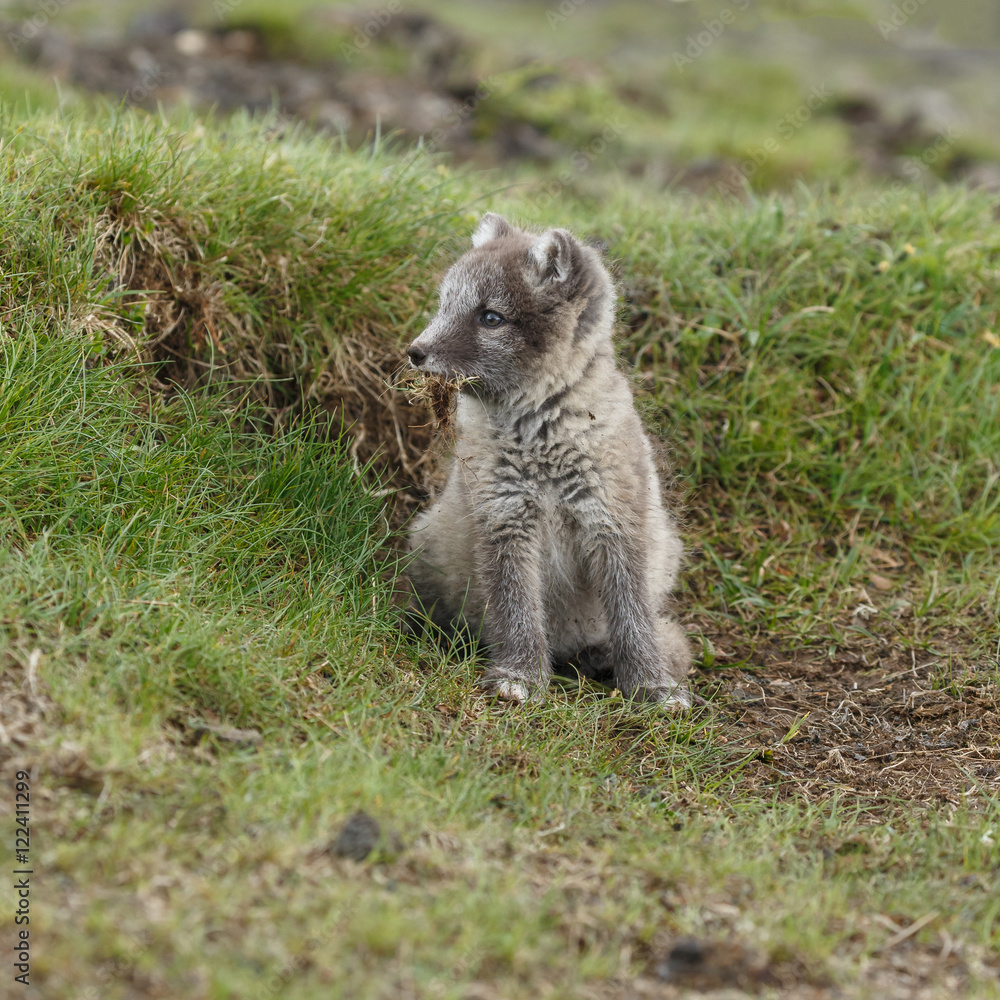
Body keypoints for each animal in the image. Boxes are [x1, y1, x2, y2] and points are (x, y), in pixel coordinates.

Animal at [405, 212, 691, 710]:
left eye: (491, 317)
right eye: (444, 305)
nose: (415, 352)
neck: (541, 441)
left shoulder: (615, 520)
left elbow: (633, 615)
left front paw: (651, 685)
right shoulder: (503, 516)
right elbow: (516, 605)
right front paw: (520, 675)